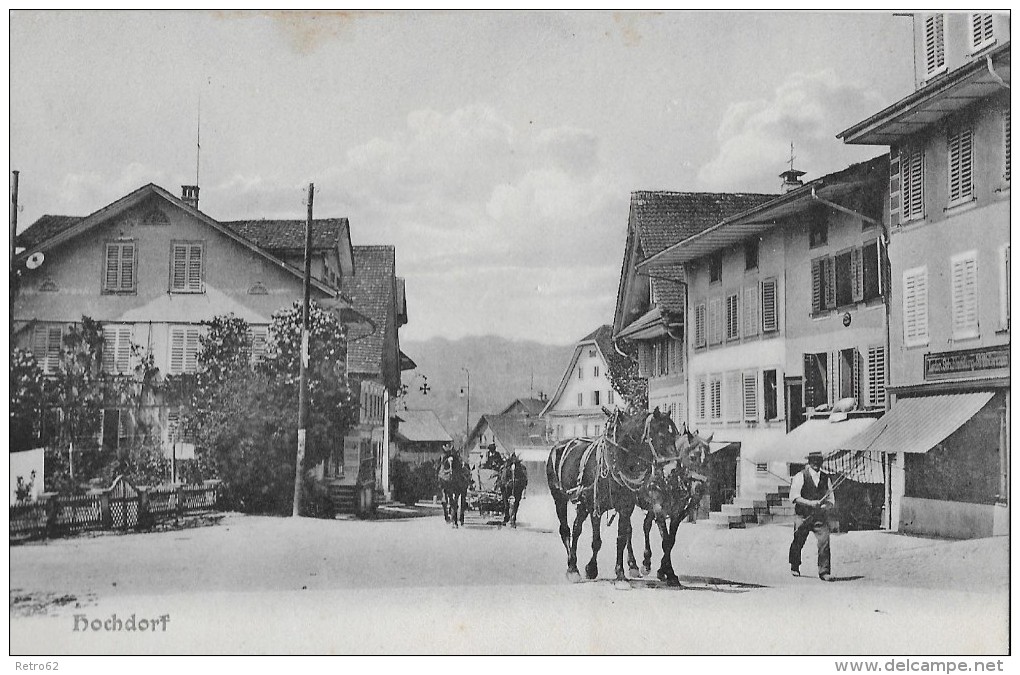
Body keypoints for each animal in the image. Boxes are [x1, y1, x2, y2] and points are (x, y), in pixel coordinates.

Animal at [546, 407, 681, 587]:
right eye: (661, 436)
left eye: (675, 436)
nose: (673, 469)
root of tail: (559, 445)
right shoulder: (594, 506)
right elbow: (596, 540)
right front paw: (591, 568)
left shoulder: (626, 507)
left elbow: (622, 538)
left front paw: (620, 573)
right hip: (561, 499)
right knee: (567, 530)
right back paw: (572, 567)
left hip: (584, 504)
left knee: (577, 528)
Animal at [624, 424, 714, 587]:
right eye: (693, 457)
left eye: (709, 458)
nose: (700, 487)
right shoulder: (659, 508)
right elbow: (665, 540)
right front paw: (668, 572)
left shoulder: (676, 513)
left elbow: (670, 541)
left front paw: (665, 571)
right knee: (628, 529)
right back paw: (633, 565)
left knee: (646, 525)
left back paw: (646, 561)